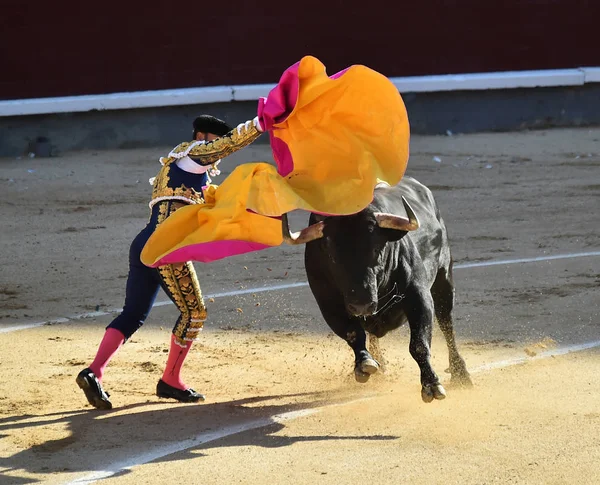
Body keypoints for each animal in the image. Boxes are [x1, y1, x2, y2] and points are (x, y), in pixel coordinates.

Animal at [282, 176, 474, 402]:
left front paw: (432, 385)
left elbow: (419, 343)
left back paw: (461, 374)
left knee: (446, 324)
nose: (361, 304)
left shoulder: (419, 296)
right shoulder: (328, 304)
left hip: (444, 279)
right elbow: (353, 333)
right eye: (332, 256)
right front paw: (364, 363)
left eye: (376, 249)